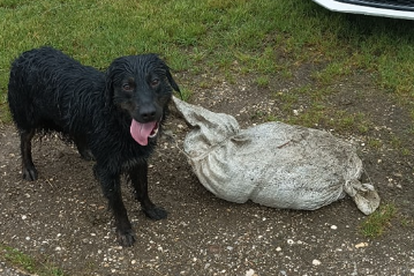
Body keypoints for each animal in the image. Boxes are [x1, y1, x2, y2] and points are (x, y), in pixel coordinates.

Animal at [7, 46, 180, 247]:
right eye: (126, 86)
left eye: (155, 81)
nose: (148, 114)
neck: (117, 121)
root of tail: (25, 54)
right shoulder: (108, 169)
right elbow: (118, 204)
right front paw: (124, 231)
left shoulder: (138, 160)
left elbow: (143, 189)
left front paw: (150, 210)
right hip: (27, 116)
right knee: (24, 141)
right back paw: (28, 168)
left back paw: (86, 151)